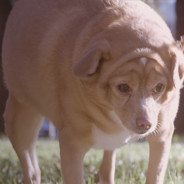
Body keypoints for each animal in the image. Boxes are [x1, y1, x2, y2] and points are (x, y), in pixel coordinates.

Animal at [1, 0, 184, 184]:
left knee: (107, 163)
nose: (145, 124)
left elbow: (155, 173)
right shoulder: (71, 143)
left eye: (159, 87)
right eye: (123, 87)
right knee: (31, 168)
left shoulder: (162, 135)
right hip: (19, 119)